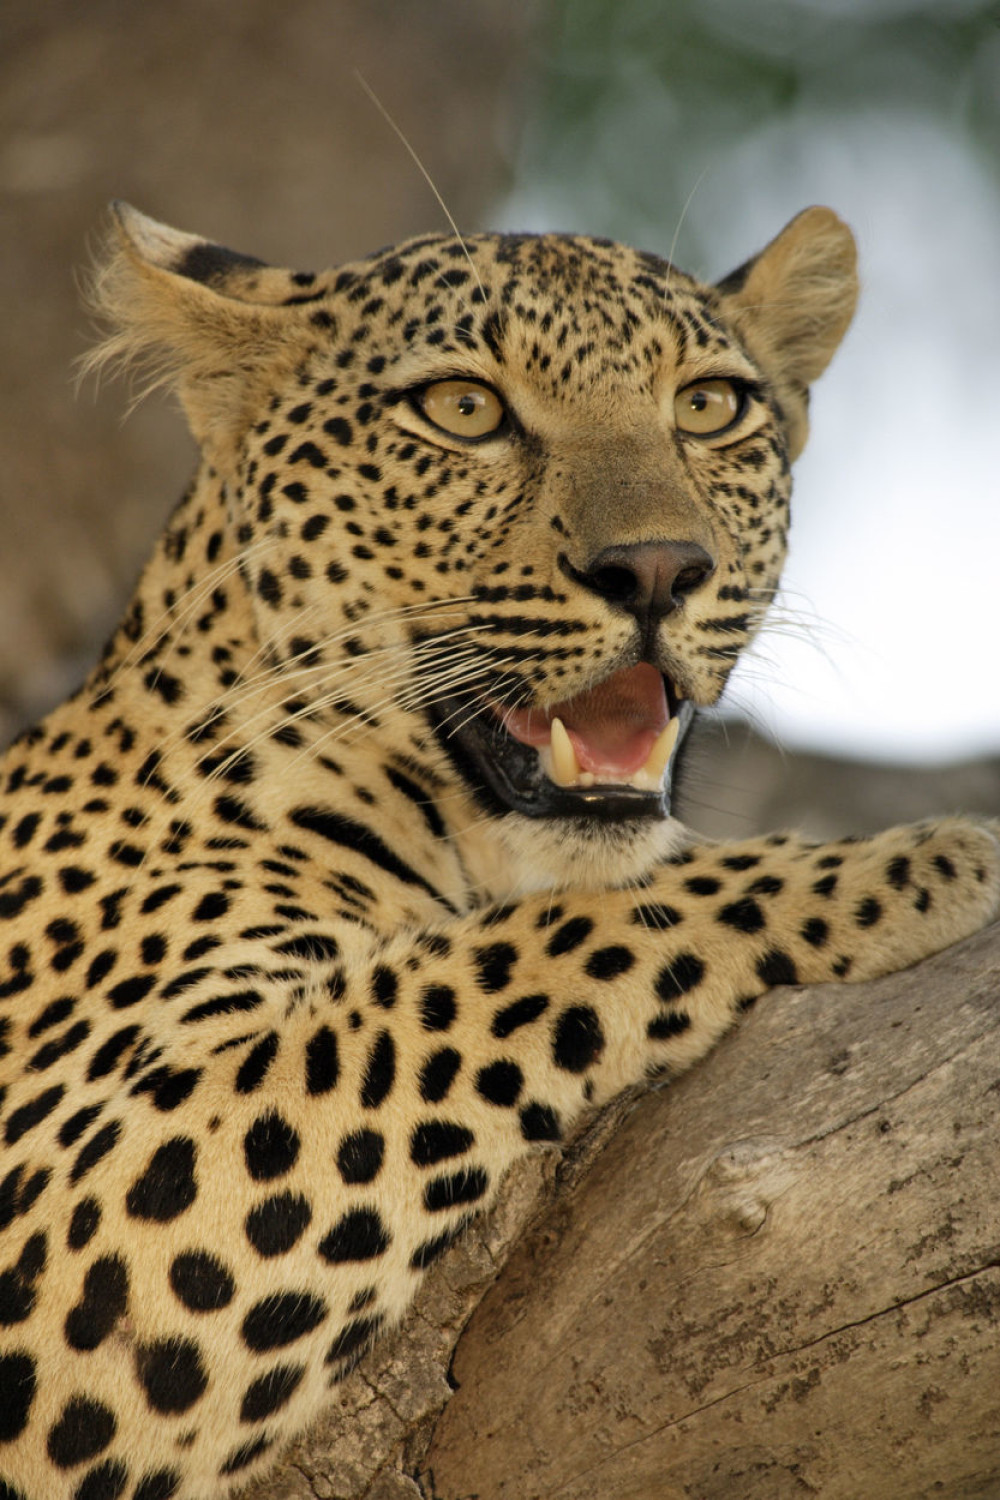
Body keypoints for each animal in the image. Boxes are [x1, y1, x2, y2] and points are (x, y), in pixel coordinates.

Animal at [0, 199, 997, 1500]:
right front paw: (908, 865)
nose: (657, 570)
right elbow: (498, 961)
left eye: (706, 406)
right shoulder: (64, 1212)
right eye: (464, 409)